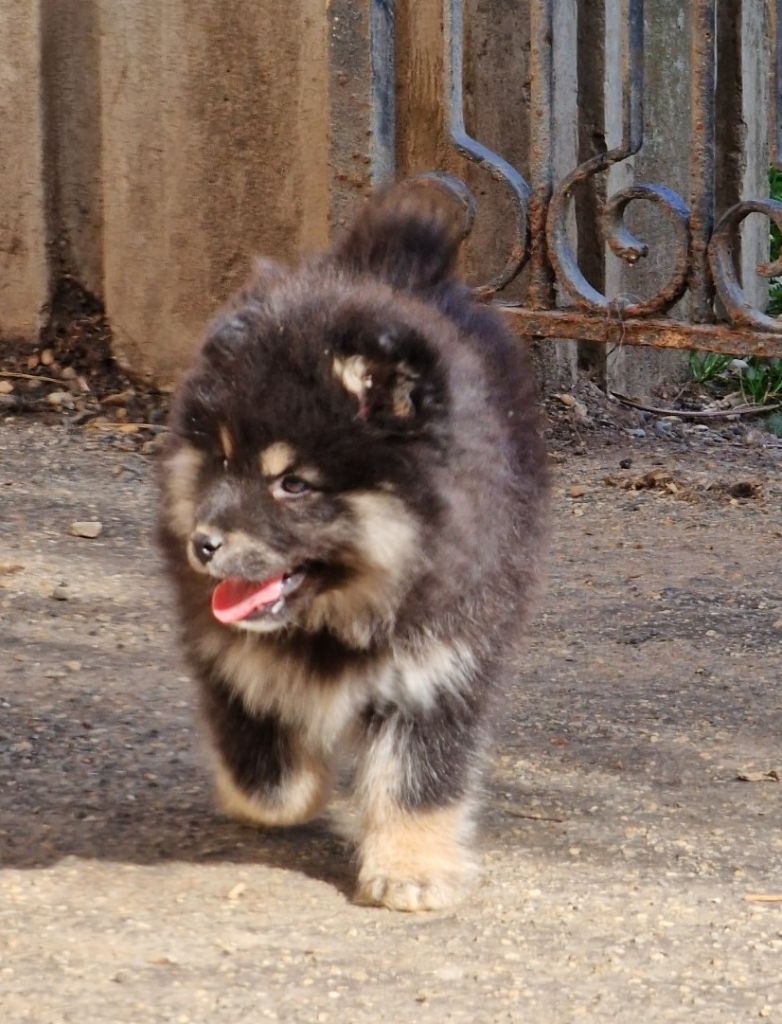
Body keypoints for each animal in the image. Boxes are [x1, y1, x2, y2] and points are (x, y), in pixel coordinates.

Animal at [157, 184, 548, 913]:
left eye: (293, 483)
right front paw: (289, 790)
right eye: (221, 460)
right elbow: (267, 769)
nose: (202, 544)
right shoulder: (225, 649)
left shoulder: (441, 662)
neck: (342, 612)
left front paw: (413, 869)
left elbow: (421, 775)